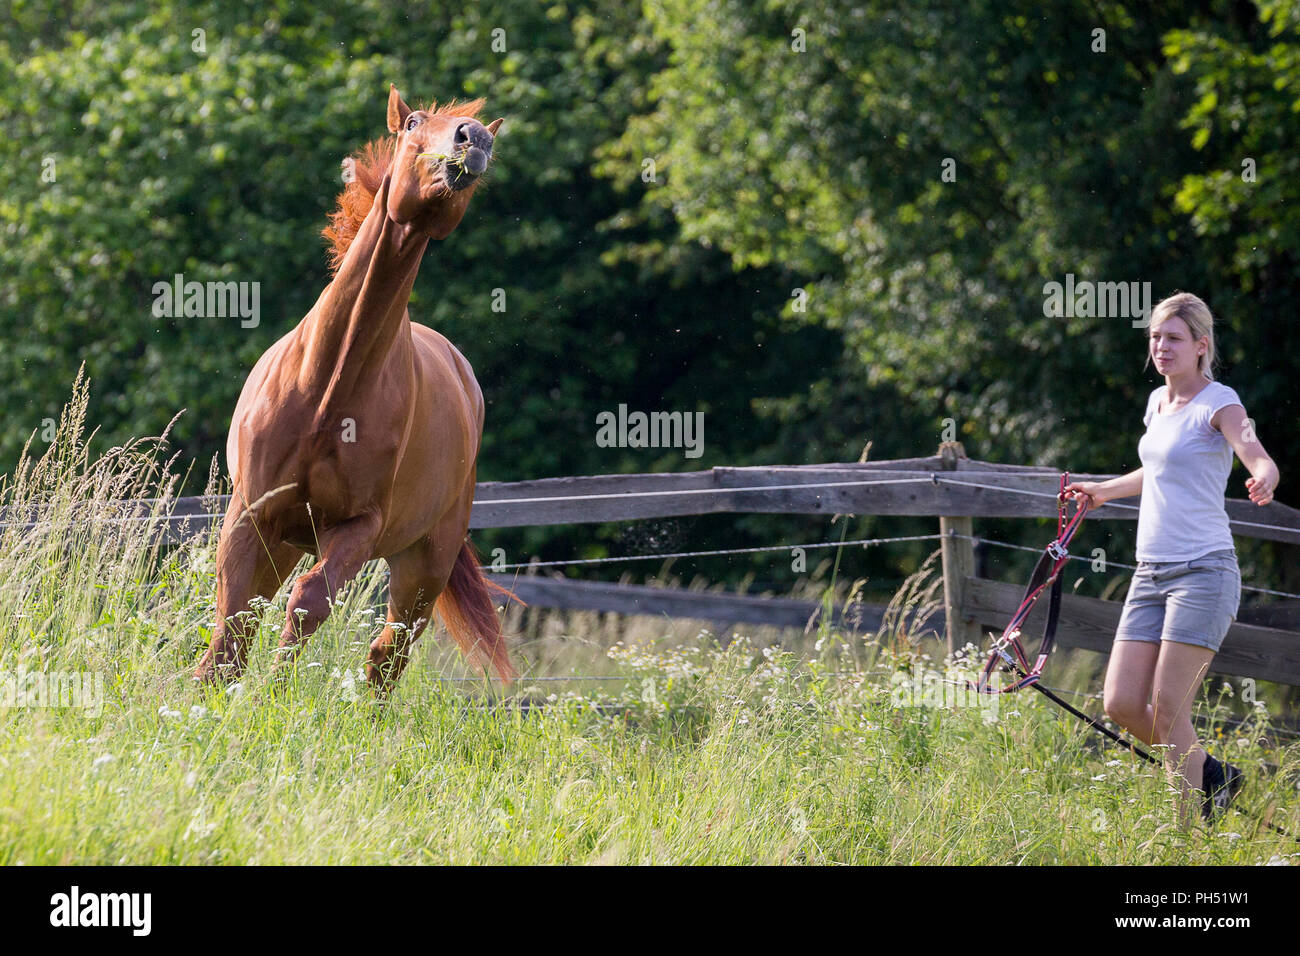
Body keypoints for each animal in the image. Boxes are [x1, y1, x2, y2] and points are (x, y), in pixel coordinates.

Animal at [195, 85, 514, 691]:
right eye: (413, 123)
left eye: (482, 130)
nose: (474, 139)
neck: (326, 389)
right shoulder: (251, 512)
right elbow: (232, 620)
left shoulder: (358, 526)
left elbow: (307, 604)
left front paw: (271, 694)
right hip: (284, 540)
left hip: (423, 565)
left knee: (387, 653)